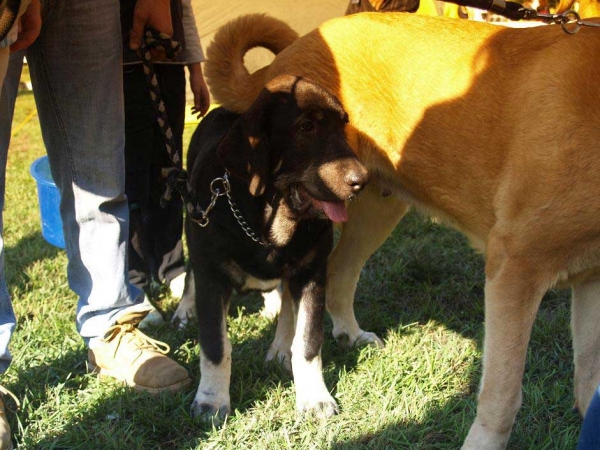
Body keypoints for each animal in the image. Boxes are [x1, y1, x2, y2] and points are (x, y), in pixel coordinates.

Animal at [173, 74, 368, 422]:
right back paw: (184, 311)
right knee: (189, 277)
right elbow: (215, 346)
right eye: (307, 127)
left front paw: (314, 397)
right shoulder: (212, 276)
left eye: (343, 124)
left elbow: (307, 342)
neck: (269, 223)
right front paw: (211, 401)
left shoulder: (311, 273)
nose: (363, 180)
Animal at [203, 13, 600, 450]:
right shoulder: (515, 268)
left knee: (335, 272)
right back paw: (283, 349)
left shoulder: (592, 280)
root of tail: (287, 55)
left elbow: (589, 382)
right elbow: (503, 395)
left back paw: (345, 334)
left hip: (376, 209)